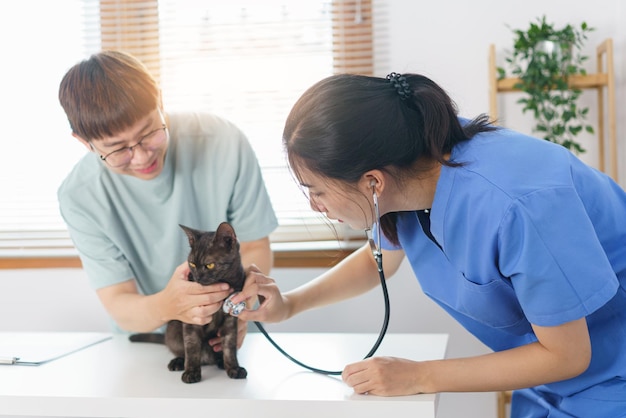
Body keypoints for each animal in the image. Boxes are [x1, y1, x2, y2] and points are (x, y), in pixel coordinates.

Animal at [129, 224, 246, 384]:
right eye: (192, 264)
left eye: (209, 265)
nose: (197, 277)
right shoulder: (192, 318)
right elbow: (191, 347)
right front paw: (191, 372)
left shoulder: (230, 319)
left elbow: (229, 346)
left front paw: (233, 368)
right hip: (173, 331)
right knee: (181, 350)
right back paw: (178, 362)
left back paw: (220, 361)